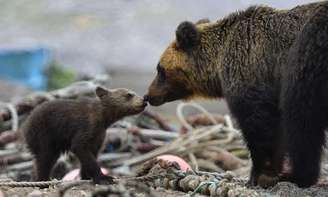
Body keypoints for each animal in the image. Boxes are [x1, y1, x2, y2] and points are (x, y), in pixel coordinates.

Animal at [145, 1, 328, 188]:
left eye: (160, 69)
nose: (148, 96)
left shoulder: (250, 71)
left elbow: (261, 125)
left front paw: (259, 175)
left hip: (308, 55)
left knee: (300, 118)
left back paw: (297, 175)